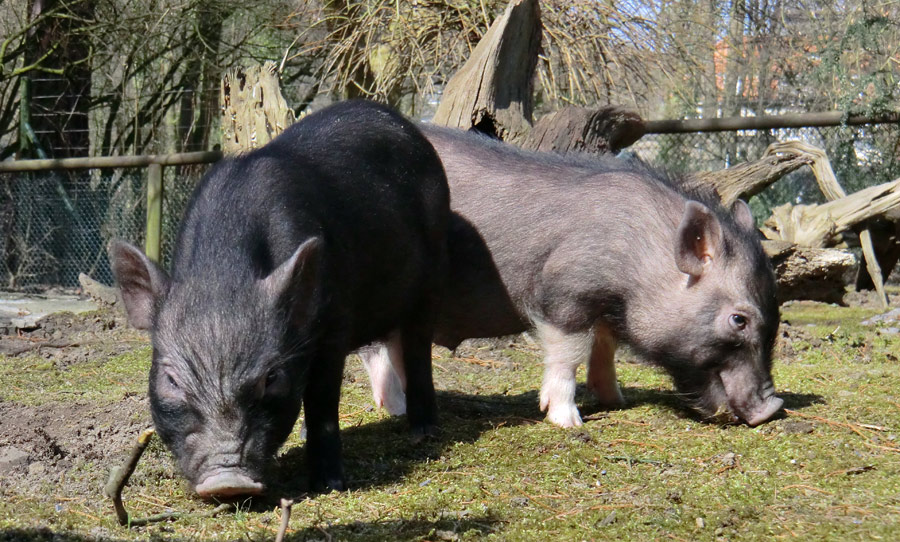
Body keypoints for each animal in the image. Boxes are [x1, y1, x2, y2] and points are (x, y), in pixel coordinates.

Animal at [110, 100, 448, 500]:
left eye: (271, 377)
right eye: (171, 380)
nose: (228, 481)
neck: (224, 270)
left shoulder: (333, 324)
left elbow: (322, 401)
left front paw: (329, 485)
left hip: (433, 274)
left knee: (418, 349)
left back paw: (422, 432)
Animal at [362, 125, 784, 432]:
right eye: (739, 319)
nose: (773, 408)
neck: (639, 257)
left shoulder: (604, 307)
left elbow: (604, 346)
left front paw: (616, 401)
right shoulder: (565, 294)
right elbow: (571, 352)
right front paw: (568, 422)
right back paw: (396, 409)